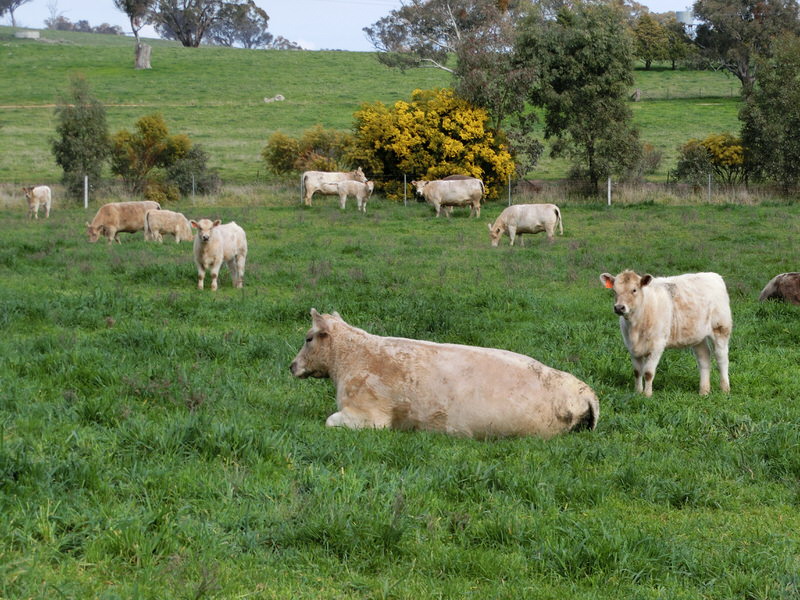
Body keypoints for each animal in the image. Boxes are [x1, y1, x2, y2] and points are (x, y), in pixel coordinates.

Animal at [290, 309, 599, 439]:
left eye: (308, 338)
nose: (292, 365)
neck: (352, 357)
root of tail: (585, 392)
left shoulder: (369, 416)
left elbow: (330, 420)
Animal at [600, 270, 732, 397]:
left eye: (634, 290)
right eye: (614, 290)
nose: (619, 308)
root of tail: (713, 275)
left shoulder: (657, 346)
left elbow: (648, 372)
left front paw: (647, 394)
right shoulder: (631, 346)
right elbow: (637, 372)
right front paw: (637, 392)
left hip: (721, 328)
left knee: (722, 358)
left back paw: (725, 389)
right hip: (697, 335)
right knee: (704, 358)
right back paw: (704, 391)